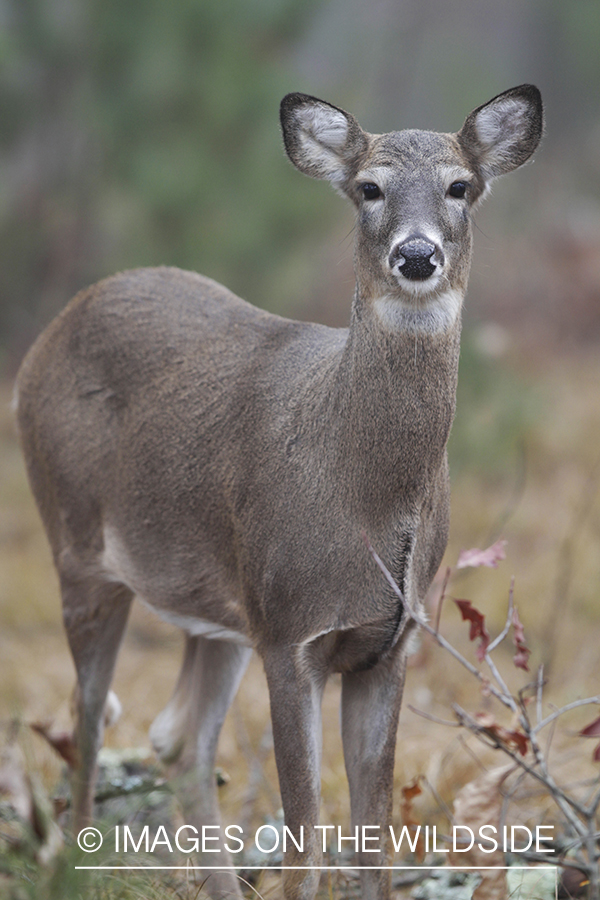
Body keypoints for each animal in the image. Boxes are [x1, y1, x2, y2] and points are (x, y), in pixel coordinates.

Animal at [15, 88, 544, 900]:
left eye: (460, 186)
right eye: (369, 188)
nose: (416, 255)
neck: (366, 500)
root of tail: (55, 328)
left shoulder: (387, 643)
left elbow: (372, 845)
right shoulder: (291, 630)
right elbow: (305, 846)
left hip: (218, 605)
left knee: (178, 737)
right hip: (76, 544)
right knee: (89, 714)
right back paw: (74, 863)